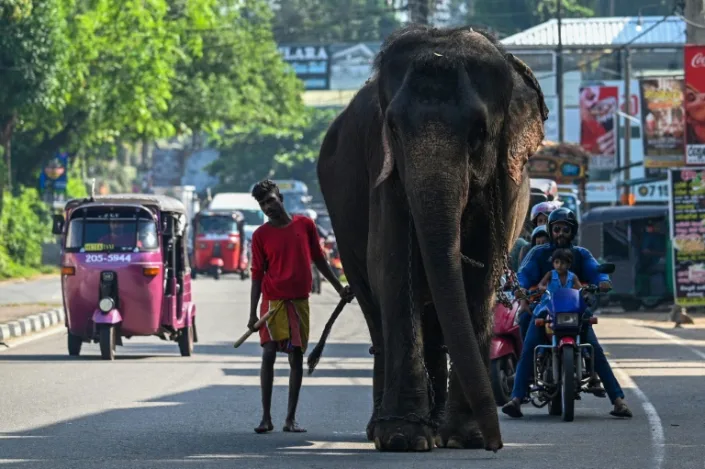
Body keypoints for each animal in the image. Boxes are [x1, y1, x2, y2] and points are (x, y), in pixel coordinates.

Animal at [314, 23, 552, 452]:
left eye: (479, 131)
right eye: (392, 127)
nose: (496, 444)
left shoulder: (503, 185)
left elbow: (481, 277)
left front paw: (466, 437)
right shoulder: (385, 172)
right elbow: (391, 267)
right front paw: (402, 438)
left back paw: (439, 428)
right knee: (374, 307)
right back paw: (384, 428)